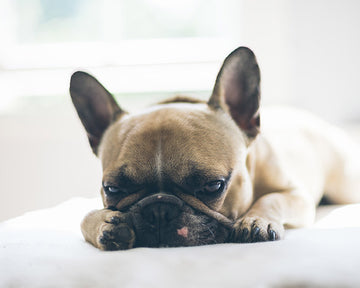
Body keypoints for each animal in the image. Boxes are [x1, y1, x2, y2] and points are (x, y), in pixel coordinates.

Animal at [69, 47, 358, 250]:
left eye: (213, 186)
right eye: (112, 189)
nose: (159, 210)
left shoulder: (296, 195)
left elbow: (272, 198)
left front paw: (256, 220)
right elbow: (83, 216)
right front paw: (103, 225)